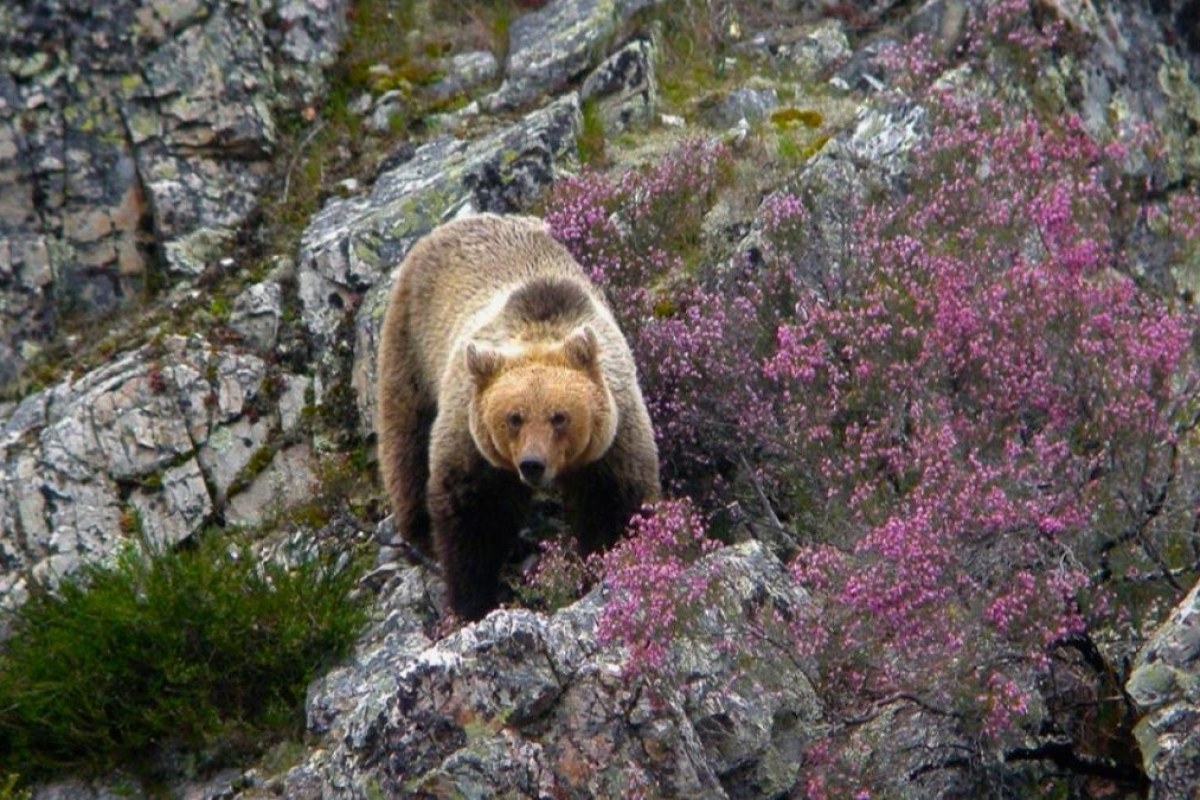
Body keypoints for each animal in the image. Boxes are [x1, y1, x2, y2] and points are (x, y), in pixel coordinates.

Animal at [375, 213, 661, 620]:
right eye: (514, 417)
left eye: (559, 416)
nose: (532, 463)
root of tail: (455, 223)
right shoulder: (473, 440)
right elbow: (472, 515)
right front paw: (473, 601)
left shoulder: (613, 441)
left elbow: (617, 506)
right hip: (410, 345)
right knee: (406, 439)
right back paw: (419, 531)